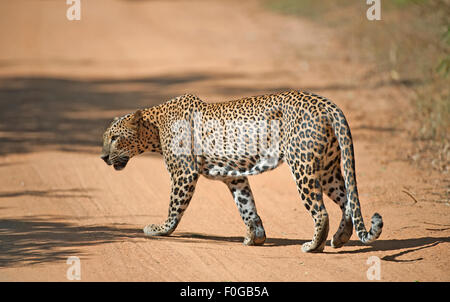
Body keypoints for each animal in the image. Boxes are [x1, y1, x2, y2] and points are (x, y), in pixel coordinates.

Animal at [101, 89, 384, 252]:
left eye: (115, 138)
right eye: (106, 138)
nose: (103, 157)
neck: (155, 127)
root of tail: (328, 104)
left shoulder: (183, 174)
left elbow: (174, 206)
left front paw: (161, 229)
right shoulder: (235, 177)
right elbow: (247, 206)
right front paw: (256, 237)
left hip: (303, 165)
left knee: (321, 211)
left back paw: (314, 245)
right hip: (327, 169)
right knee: (347, 201)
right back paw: (339, 239)